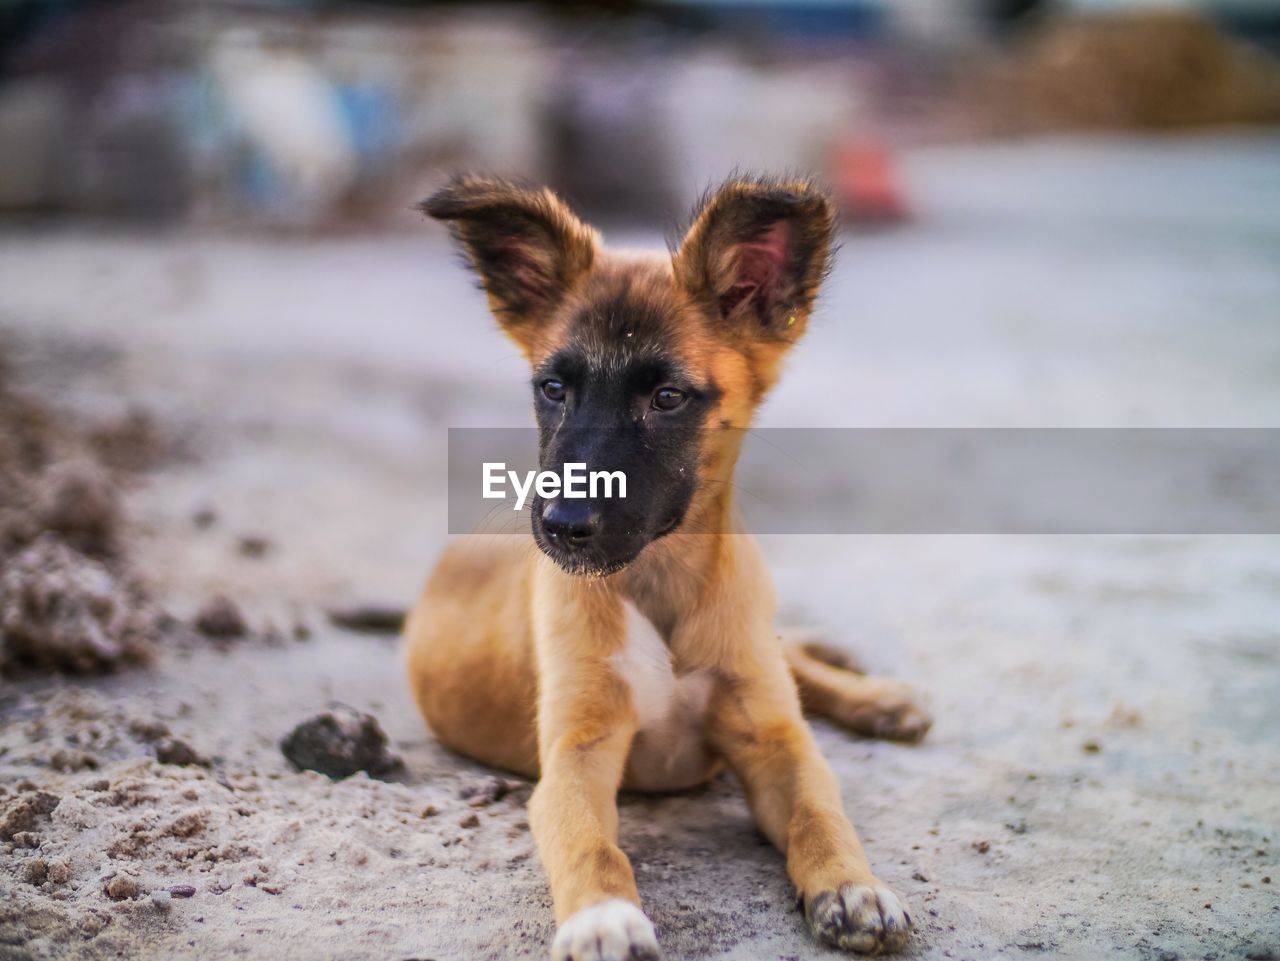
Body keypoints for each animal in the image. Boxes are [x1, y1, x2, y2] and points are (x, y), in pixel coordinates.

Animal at [407, 176, 931, 961]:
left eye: (667, 398)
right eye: (553, 389)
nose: (561, 526)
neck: (659, 579)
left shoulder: (776, 741)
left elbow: (820, 812)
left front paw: (853, 886)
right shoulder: (577, 755)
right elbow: (590, 844)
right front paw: (603, 917)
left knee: (795, 662)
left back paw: (879, 698)